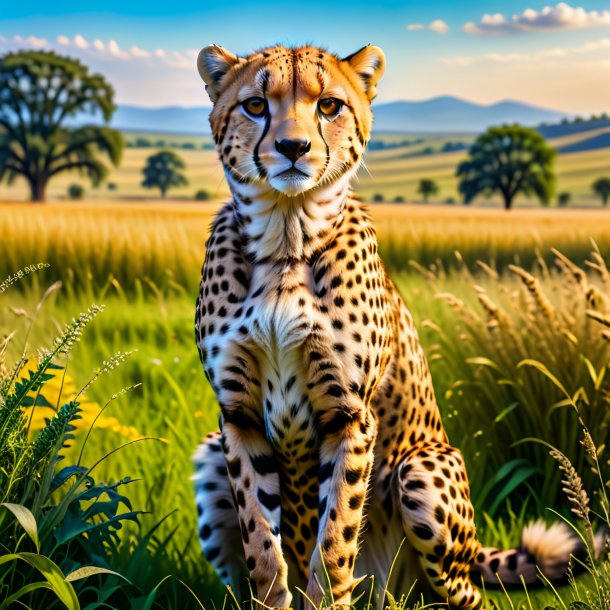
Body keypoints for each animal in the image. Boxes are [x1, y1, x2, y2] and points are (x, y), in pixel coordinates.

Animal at [192, 44, 576, 608]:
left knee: (462, 593)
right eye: (256, 105)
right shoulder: (237, 417)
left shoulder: (350, 414)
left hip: (423, 474)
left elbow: (334, 539)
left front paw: (326, 597)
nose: (292, 146)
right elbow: (261, 542)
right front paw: (272, 596)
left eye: (329, 105)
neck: (287, 238)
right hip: (209, 456)